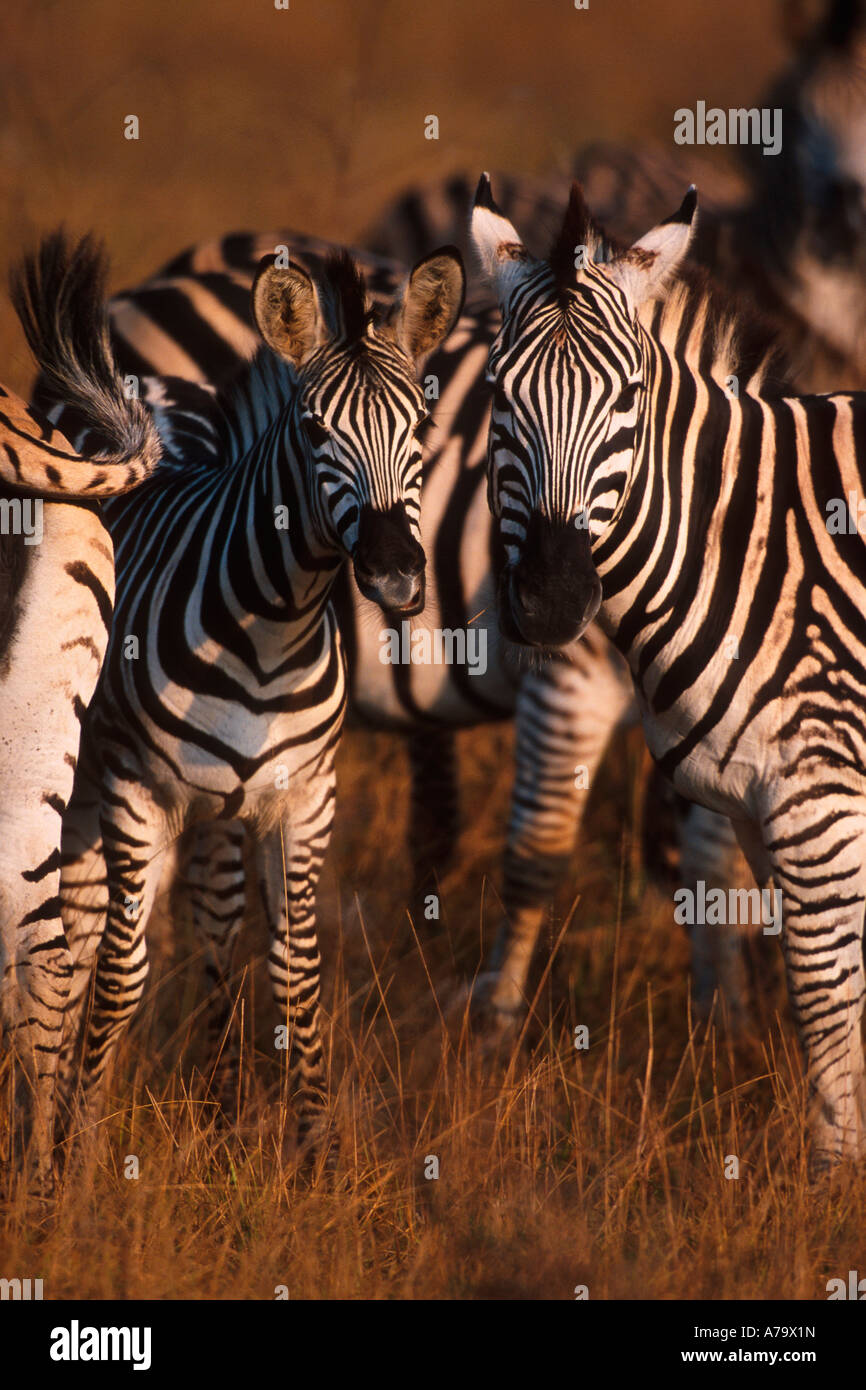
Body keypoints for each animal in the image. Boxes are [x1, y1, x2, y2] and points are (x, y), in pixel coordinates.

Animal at [40, 236, 465, 1160]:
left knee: (201, 919)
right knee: (81, 934)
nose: (396, 574)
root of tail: (137, 389)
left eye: (420, 428)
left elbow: (294, 972)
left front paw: (315, 1155)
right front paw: (76, 1157)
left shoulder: (304, 799)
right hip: (83, 766)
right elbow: (121, 974)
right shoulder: (138, 793)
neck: (273, 631)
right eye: (314, 432)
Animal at [471, 174, 866, 1168]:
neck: (760, 549)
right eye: (498, 398)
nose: (550, 601)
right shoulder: (769, 812)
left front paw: (833, 1180)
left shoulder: (821, 797)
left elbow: (828, 1004)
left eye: (628, 399)